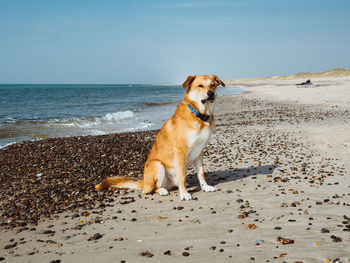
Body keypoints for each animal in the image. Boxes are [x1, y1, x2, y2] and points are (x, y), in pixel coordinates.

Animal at [95, 75, 226, 201]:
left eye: (212, 85)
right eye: (200, 86)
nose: (211, 93)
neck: (199, 115)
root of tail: (143, 181)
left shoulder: (199, 151)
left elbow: (201, 173)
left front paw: (205, 187)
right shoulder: (180, 152)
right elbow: (182, 176)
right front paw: (184, 194)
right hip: (157, 165)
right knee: (151, 189)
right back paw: (162, 190)